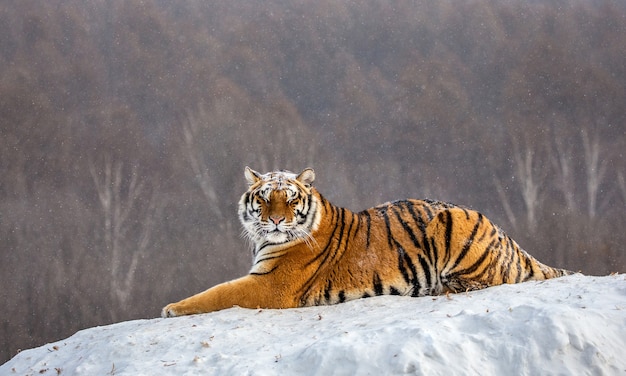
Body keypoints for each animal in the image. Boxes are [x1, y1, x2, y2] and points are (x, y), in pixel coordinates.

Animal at [161, 167, 572, 318]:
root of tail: (507, 236)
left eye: (289, 199)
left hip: (455, 226)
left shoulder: (271, 284)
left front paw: (171, 308)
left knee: (487, 282)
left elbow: (218, 293)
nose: (275, 220)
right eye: (263, 198)